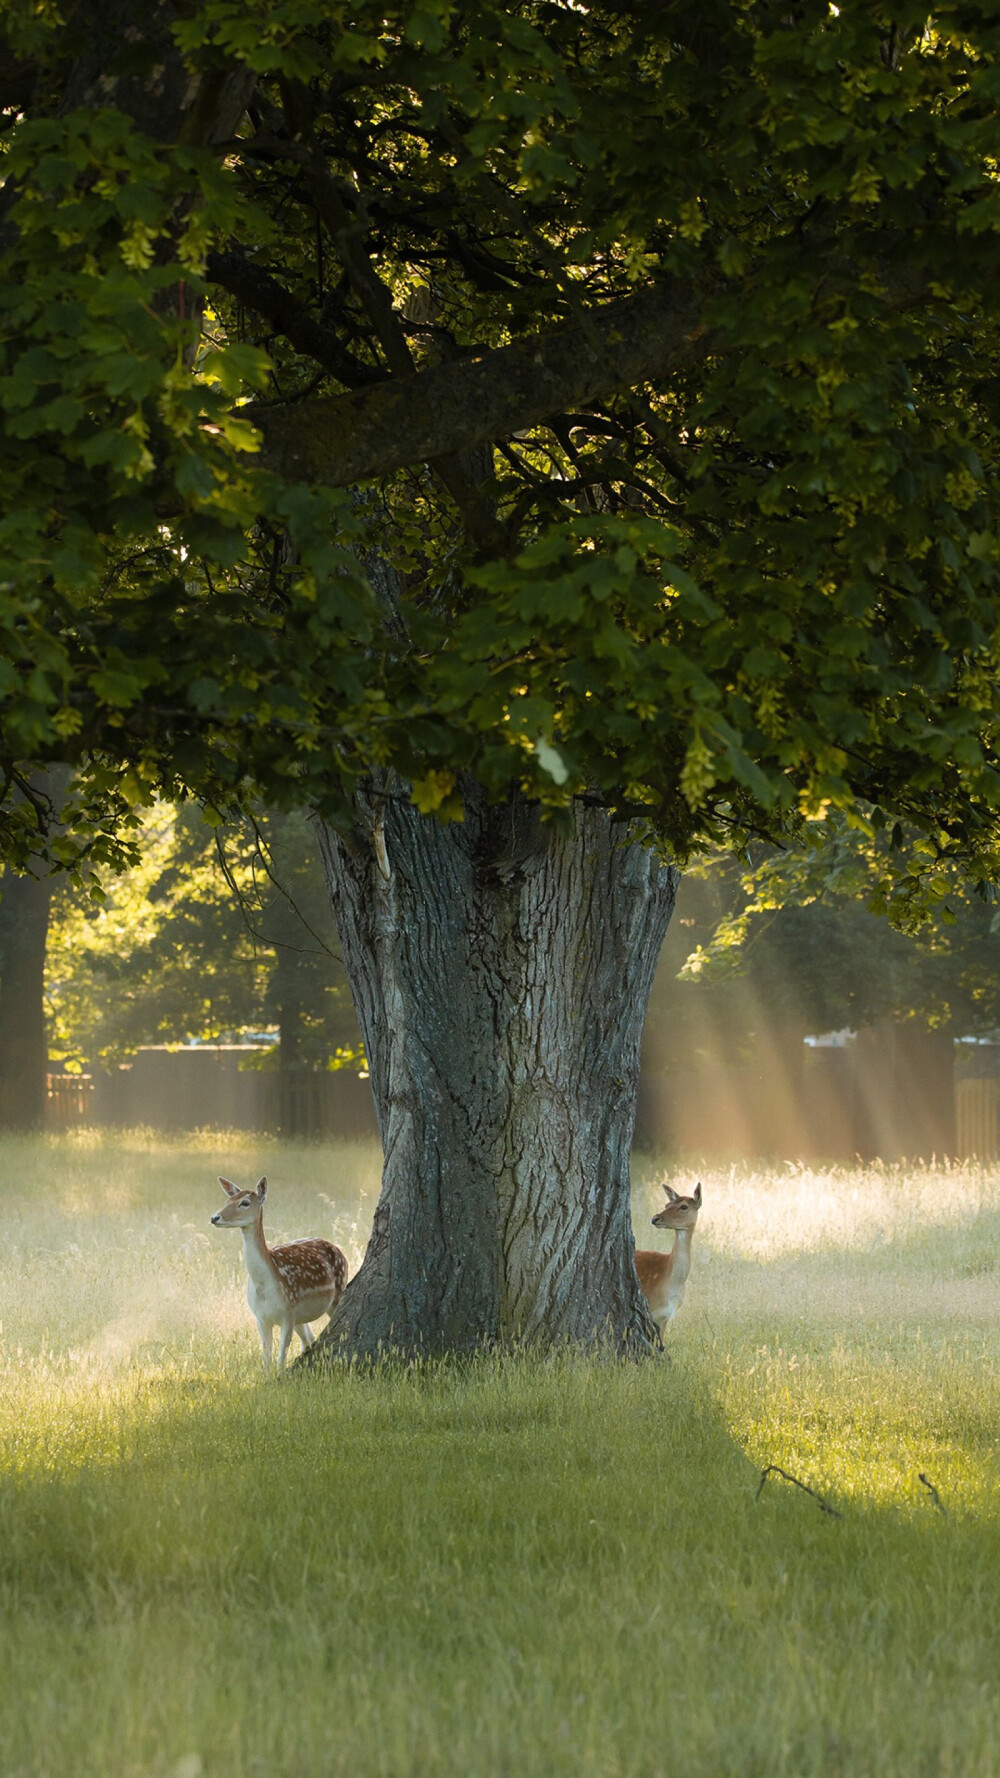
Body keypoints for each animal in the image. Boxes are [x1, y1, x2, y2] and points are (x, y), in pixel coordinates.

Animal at [209, 1173, 346, 1365]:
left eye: (245, 1202)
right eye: (228, 1200)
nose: (215, 1217)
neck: (264, 1284)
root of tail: (338, 1249)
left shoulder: (288, 1313)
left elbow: (281, 1358)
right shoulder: (260, 1317)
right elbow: (266, 1358)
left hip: (338, 1292)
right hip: (301, 1316)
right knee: (308, 1339)